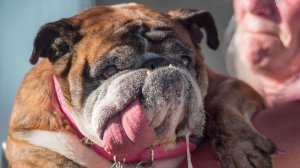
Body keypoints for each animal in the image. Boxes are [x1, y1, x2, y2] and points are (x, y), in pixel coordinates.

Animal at [5, 2, 276, 168]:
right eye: (110, 70)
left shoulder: (231, 85)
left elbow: (222, 104)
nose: (158, 63)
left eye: (185, 60)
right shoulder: (29, 144)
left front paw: (241, 147)